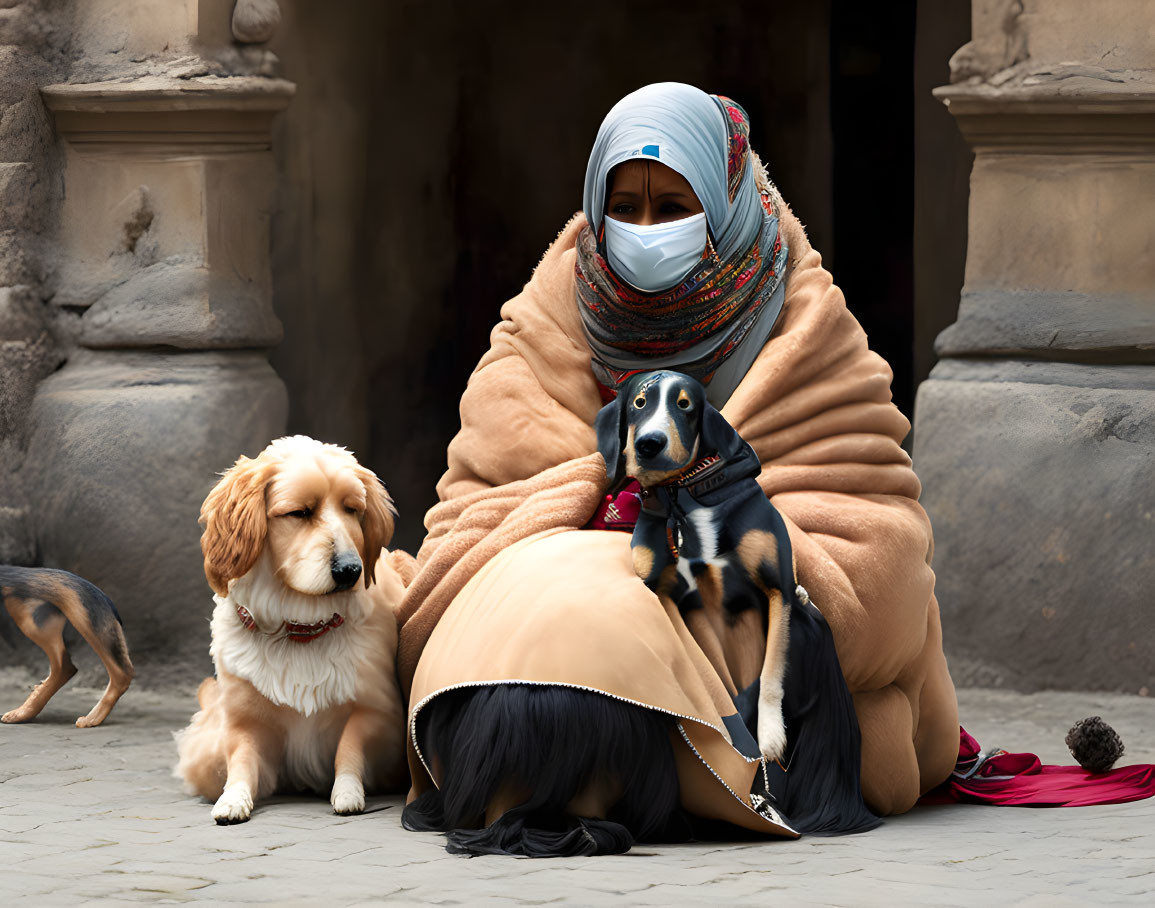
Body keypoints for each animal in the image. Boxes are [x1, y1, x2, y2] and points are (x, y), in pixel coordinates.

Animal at [168, 434, 408, 822]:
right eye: (300, 512)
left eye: (352, 509)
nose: (350, 570)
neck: (300, 628)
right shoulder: (244, 723)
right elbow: (241, 762)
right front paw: (233, 799)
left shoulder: (378, 713)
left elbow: (349, 746)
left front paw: (348, 792)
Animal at [600, 367, 877, 836]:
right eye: (638, 402)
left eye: (685, 404)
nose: (649, 444)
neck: (683, 496)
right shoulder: (675, 601)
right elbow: (712, 682)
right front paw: (733, 742)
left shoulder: (778, 590)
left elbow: (770, 674)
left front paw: (769, 736)